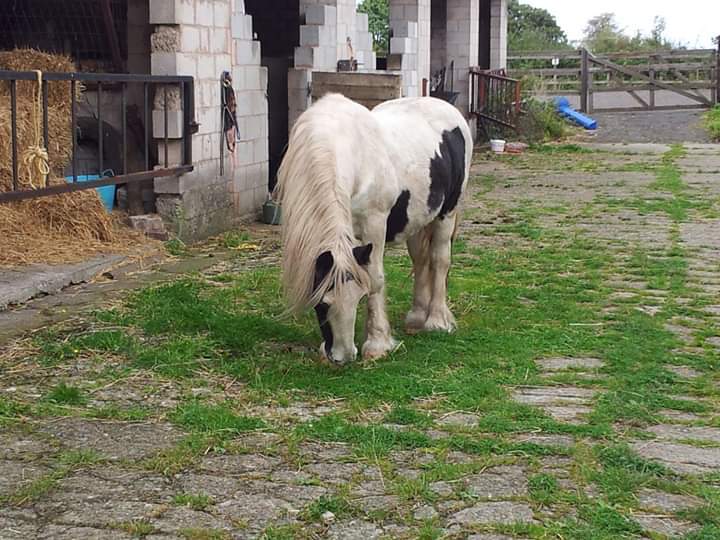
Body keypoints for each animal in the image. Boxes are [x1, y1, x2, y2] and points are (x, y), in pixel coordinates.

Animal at [276, 93, 472, 364]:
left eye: (359, 298)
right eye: (323, 303)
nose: (343, 356)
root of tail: (448, 108)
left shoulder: (375, 224)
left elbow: (376, 279)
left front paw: (378, 343)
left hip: (447, 213)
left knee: (440, 260)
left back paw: (436, 320)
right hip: (415, 219)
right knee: (421, 259)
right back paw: (416, 317)